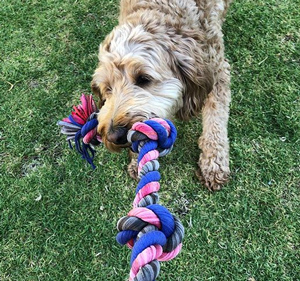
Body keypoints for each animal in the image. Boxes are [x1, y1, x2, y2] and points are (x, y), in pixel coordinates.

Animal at [91, 0, 232, 190]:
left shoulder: (217, 71)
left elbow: (215, 119)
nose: (115, 136)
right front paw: (138, 163)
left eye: (143, 78)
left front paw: (213, 163)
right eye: (108, 88)